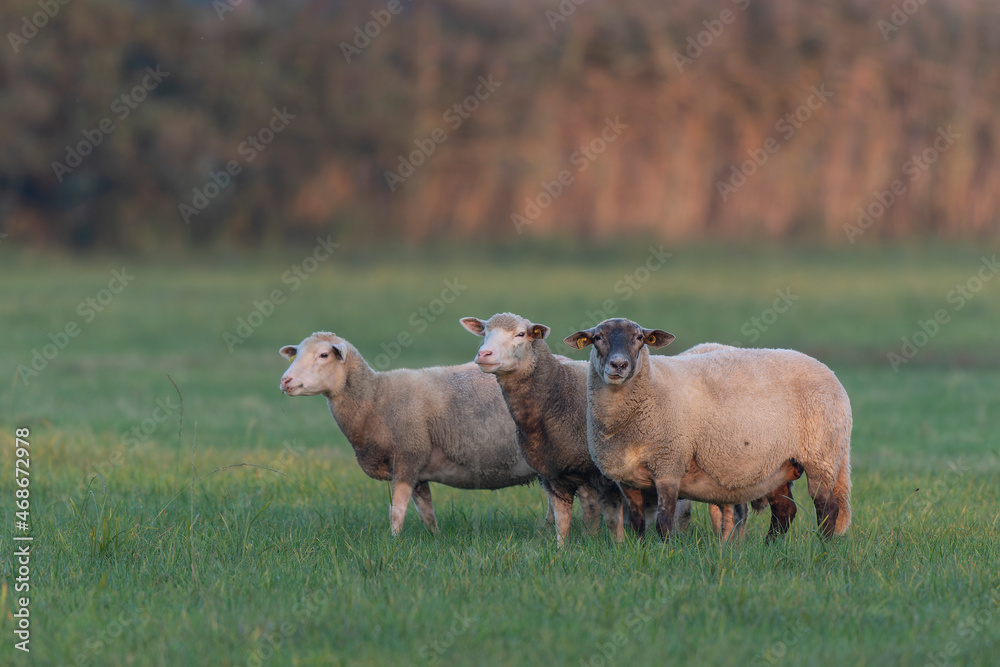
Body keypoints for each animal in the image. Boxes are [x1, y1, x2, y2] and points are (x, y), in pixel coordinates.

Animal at [279, 332, 540, 536]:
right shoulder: (418, 470)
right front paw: (436, 538)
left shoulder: (408, 455)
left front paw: (393, 542)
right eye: (296, 354)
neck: (374, 398)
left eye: (323, 355)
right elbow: (426, 513)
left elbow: (397, 511)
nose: (285, 381)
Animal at [564, 318, 851, 541]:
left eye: (639, 338)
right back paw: (771, 548)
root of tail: (829, 372)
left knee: (827, 508)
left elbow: (664, 523)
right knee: (784, 511)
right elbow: (637, 524)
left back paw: (823, 548)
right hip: (778, 464)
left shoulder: (669, 465)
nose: (619, 365)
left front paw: (666, 552)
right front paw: (641, 550)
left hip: (821, 455)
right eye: (597, 338)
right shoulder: (627, 479)